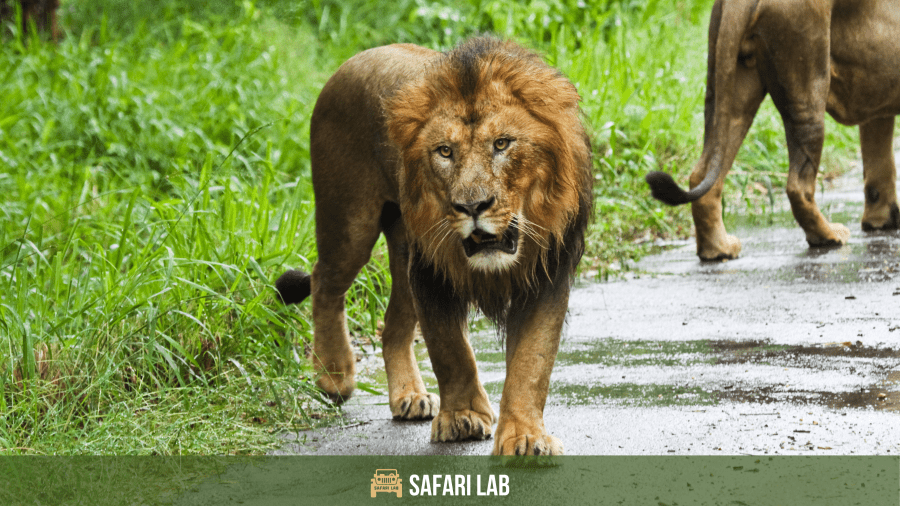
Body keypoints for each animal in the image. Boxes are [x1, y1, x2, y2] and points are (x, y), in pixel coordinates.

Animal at [275, 37, 592, 456]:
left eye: (502, 144)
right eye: (445, 151)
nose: (472, 206)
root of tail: (350, 62)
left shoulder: (547, 273)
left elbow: (532, 361)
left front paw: (524, 436)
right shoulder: (431, 270)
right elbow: (449, 349)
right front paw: (462, 417)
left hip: (401, 247)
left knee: (391, 327)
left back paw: (408, 396)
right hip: (349, 222)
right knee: (324, 282)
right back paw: (334, 374)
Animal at [646, 0, 900, 261]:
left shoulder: (877, 106)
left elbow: (880, 167)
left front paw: (880, 221)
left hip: (730, 90)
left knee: (702, 173)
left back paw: (718, 249)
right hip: (807, 86)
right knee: (798, 186)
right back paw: (828, 235)